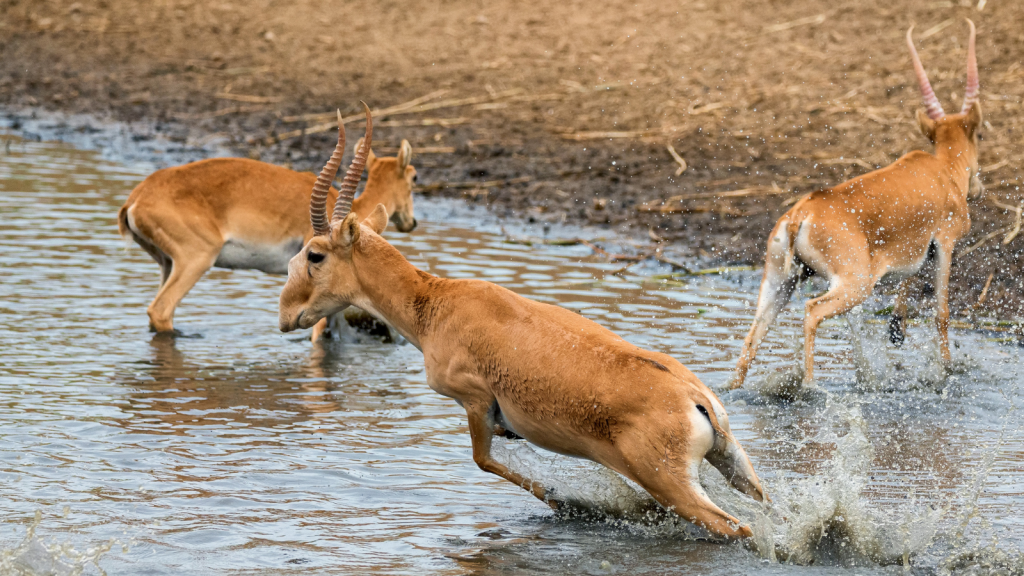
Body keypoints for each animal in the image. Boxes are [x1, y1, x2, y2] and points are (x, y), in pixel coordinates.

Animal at [114, 105, 413, 338]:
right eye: (414, 176)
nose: (411, 223)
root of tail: (137, 197)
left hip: (166, 263)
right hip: (196, 260)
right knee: (160, 310)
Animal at [280, 107, 770, 537]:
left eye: (314, 254)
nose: (287, 315)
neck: (437, 304)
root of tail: (695, 397)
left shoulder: (475, 402)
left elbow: (484, 460)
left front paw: (566, 500)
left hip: (673, 486)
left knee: (738, 528)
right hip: (733, 463)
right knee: (761, 503)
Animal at [733, 21, 978, 389]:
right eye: (980, 134)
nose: (976, 183)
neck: (941, 172)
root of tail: (802, 212)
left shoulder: (920, 251)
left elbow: (909, 280)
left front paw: (895, 330)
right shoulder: (945, 244)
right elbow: (942, 312)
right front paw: (945, 369)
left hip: (778, 283)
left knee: (752, 338)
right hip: (853, 285)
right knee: (811, 312)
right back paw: (809, 386)